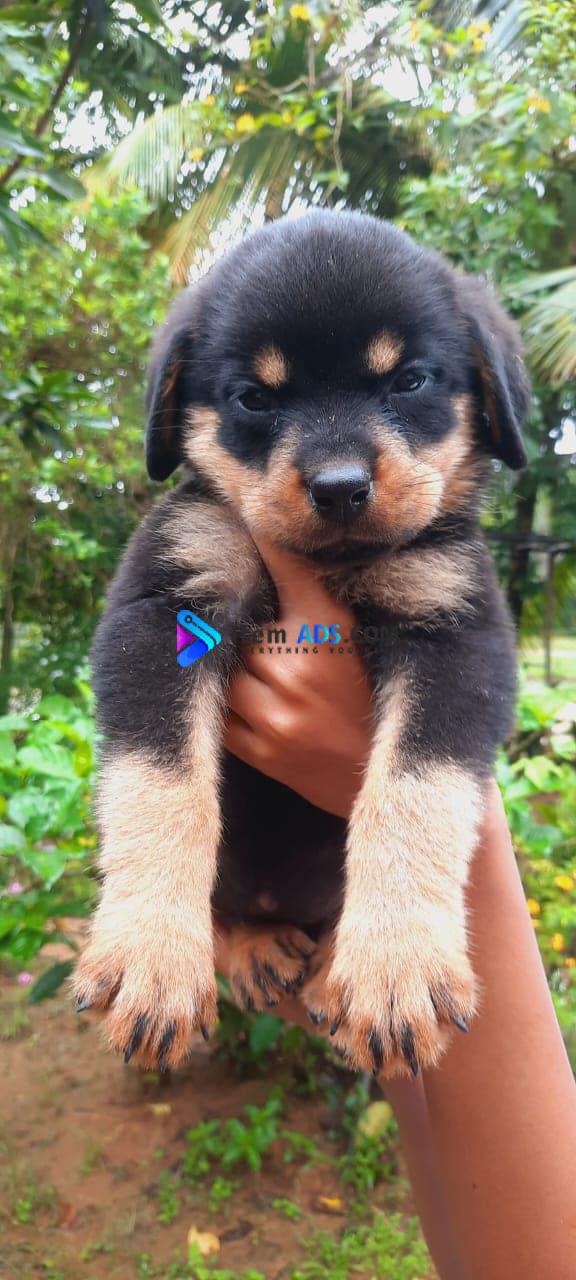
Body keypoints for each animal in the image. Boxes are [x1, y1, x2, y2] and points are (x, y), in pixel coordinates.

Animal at [73, 210, 529, 1077]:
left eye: (408, 382)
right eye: (254, 398)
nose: (341, 487)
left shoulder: (453, 628)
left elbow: (414, 792)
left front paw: (396, 969)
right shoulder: (167, 602)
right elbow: (160, 783)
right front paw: (151, 956)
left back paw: (326, 973)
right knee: (231, 902)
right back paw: (249, 947)